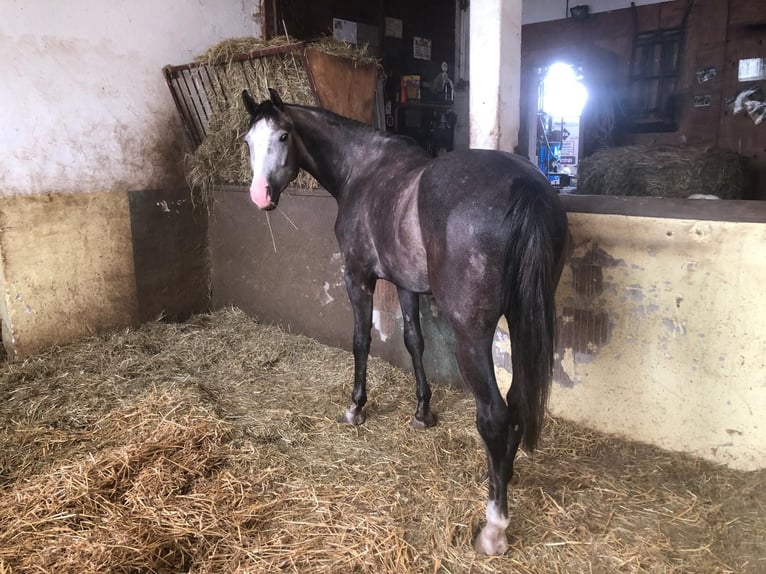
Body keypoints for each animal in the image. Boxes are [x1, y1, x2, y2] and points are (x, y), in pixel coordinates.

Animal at [240, 88, 569, 555]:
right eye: (248, 141)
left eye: (284, 135)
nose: (260, 195)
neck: (362, 169)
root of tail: (524, 187)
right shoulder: (406, 285)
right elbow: (415, 341)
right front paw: (422, 412)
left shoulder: (358, 277)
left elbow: (361, 340)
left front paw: (356, 406)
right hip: (523, 318)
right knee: (519, 399)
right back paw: (502, 475)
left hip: (473, 334)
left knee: (495, 414)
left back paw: (494, 525)